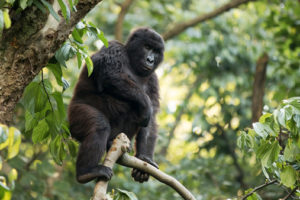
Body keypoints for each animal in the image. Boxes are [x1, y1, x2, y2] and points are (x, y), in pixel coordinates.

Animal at [67, 27, 164, 184]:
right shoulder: (113, 47)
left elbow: (151, 118)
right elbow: (110, 73)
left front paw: (144, 158)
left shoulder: (153, 80)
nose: (150, 60)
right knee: (99, 126)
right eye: (147, 47)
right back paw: (86, 172)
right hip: (74, 117)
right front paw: (145, 102)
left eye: (156, 51)